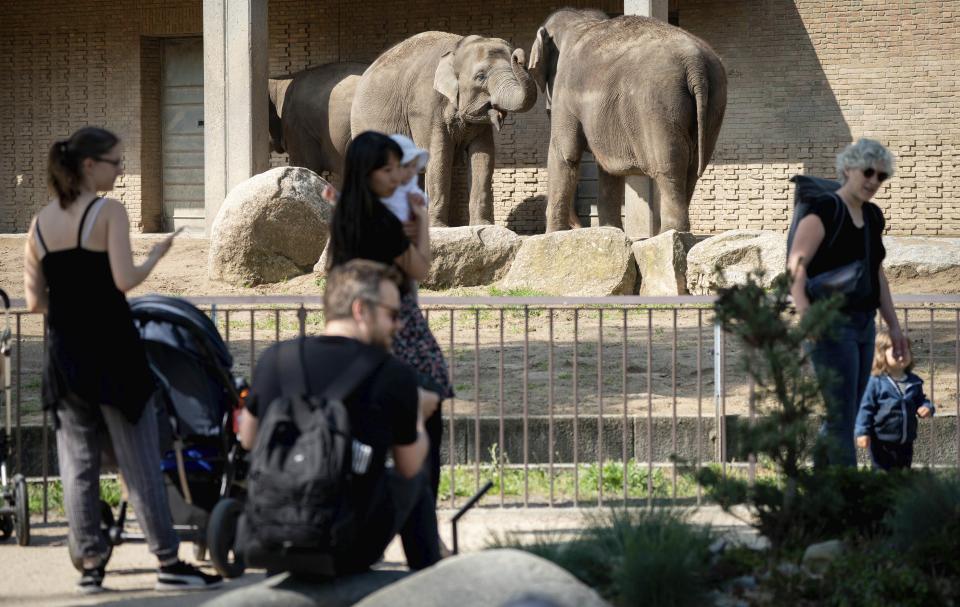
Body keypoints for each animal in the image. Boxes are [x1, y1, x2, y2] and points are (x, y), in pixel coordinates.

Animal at [350, 31, 540, 226]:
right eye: (480, 77)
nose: (519, 56)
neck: (457, 48)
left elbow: (484, 156)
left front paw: (483, 225)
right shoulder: (424, 106)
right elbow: (439, 155)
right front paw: (439, 227)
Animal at [524, 8, 728, 234]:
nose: (577, 227)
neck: (581, 22)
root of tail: (695, 63)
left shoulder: (565, 90)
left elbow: (564, 153)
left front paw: (553, 234)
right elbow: (607, 169)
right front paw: (610, 231)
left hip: (659, 103)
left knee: (669, 165)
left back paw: (669, 232)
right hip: (716, 99)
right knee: (693, 167)